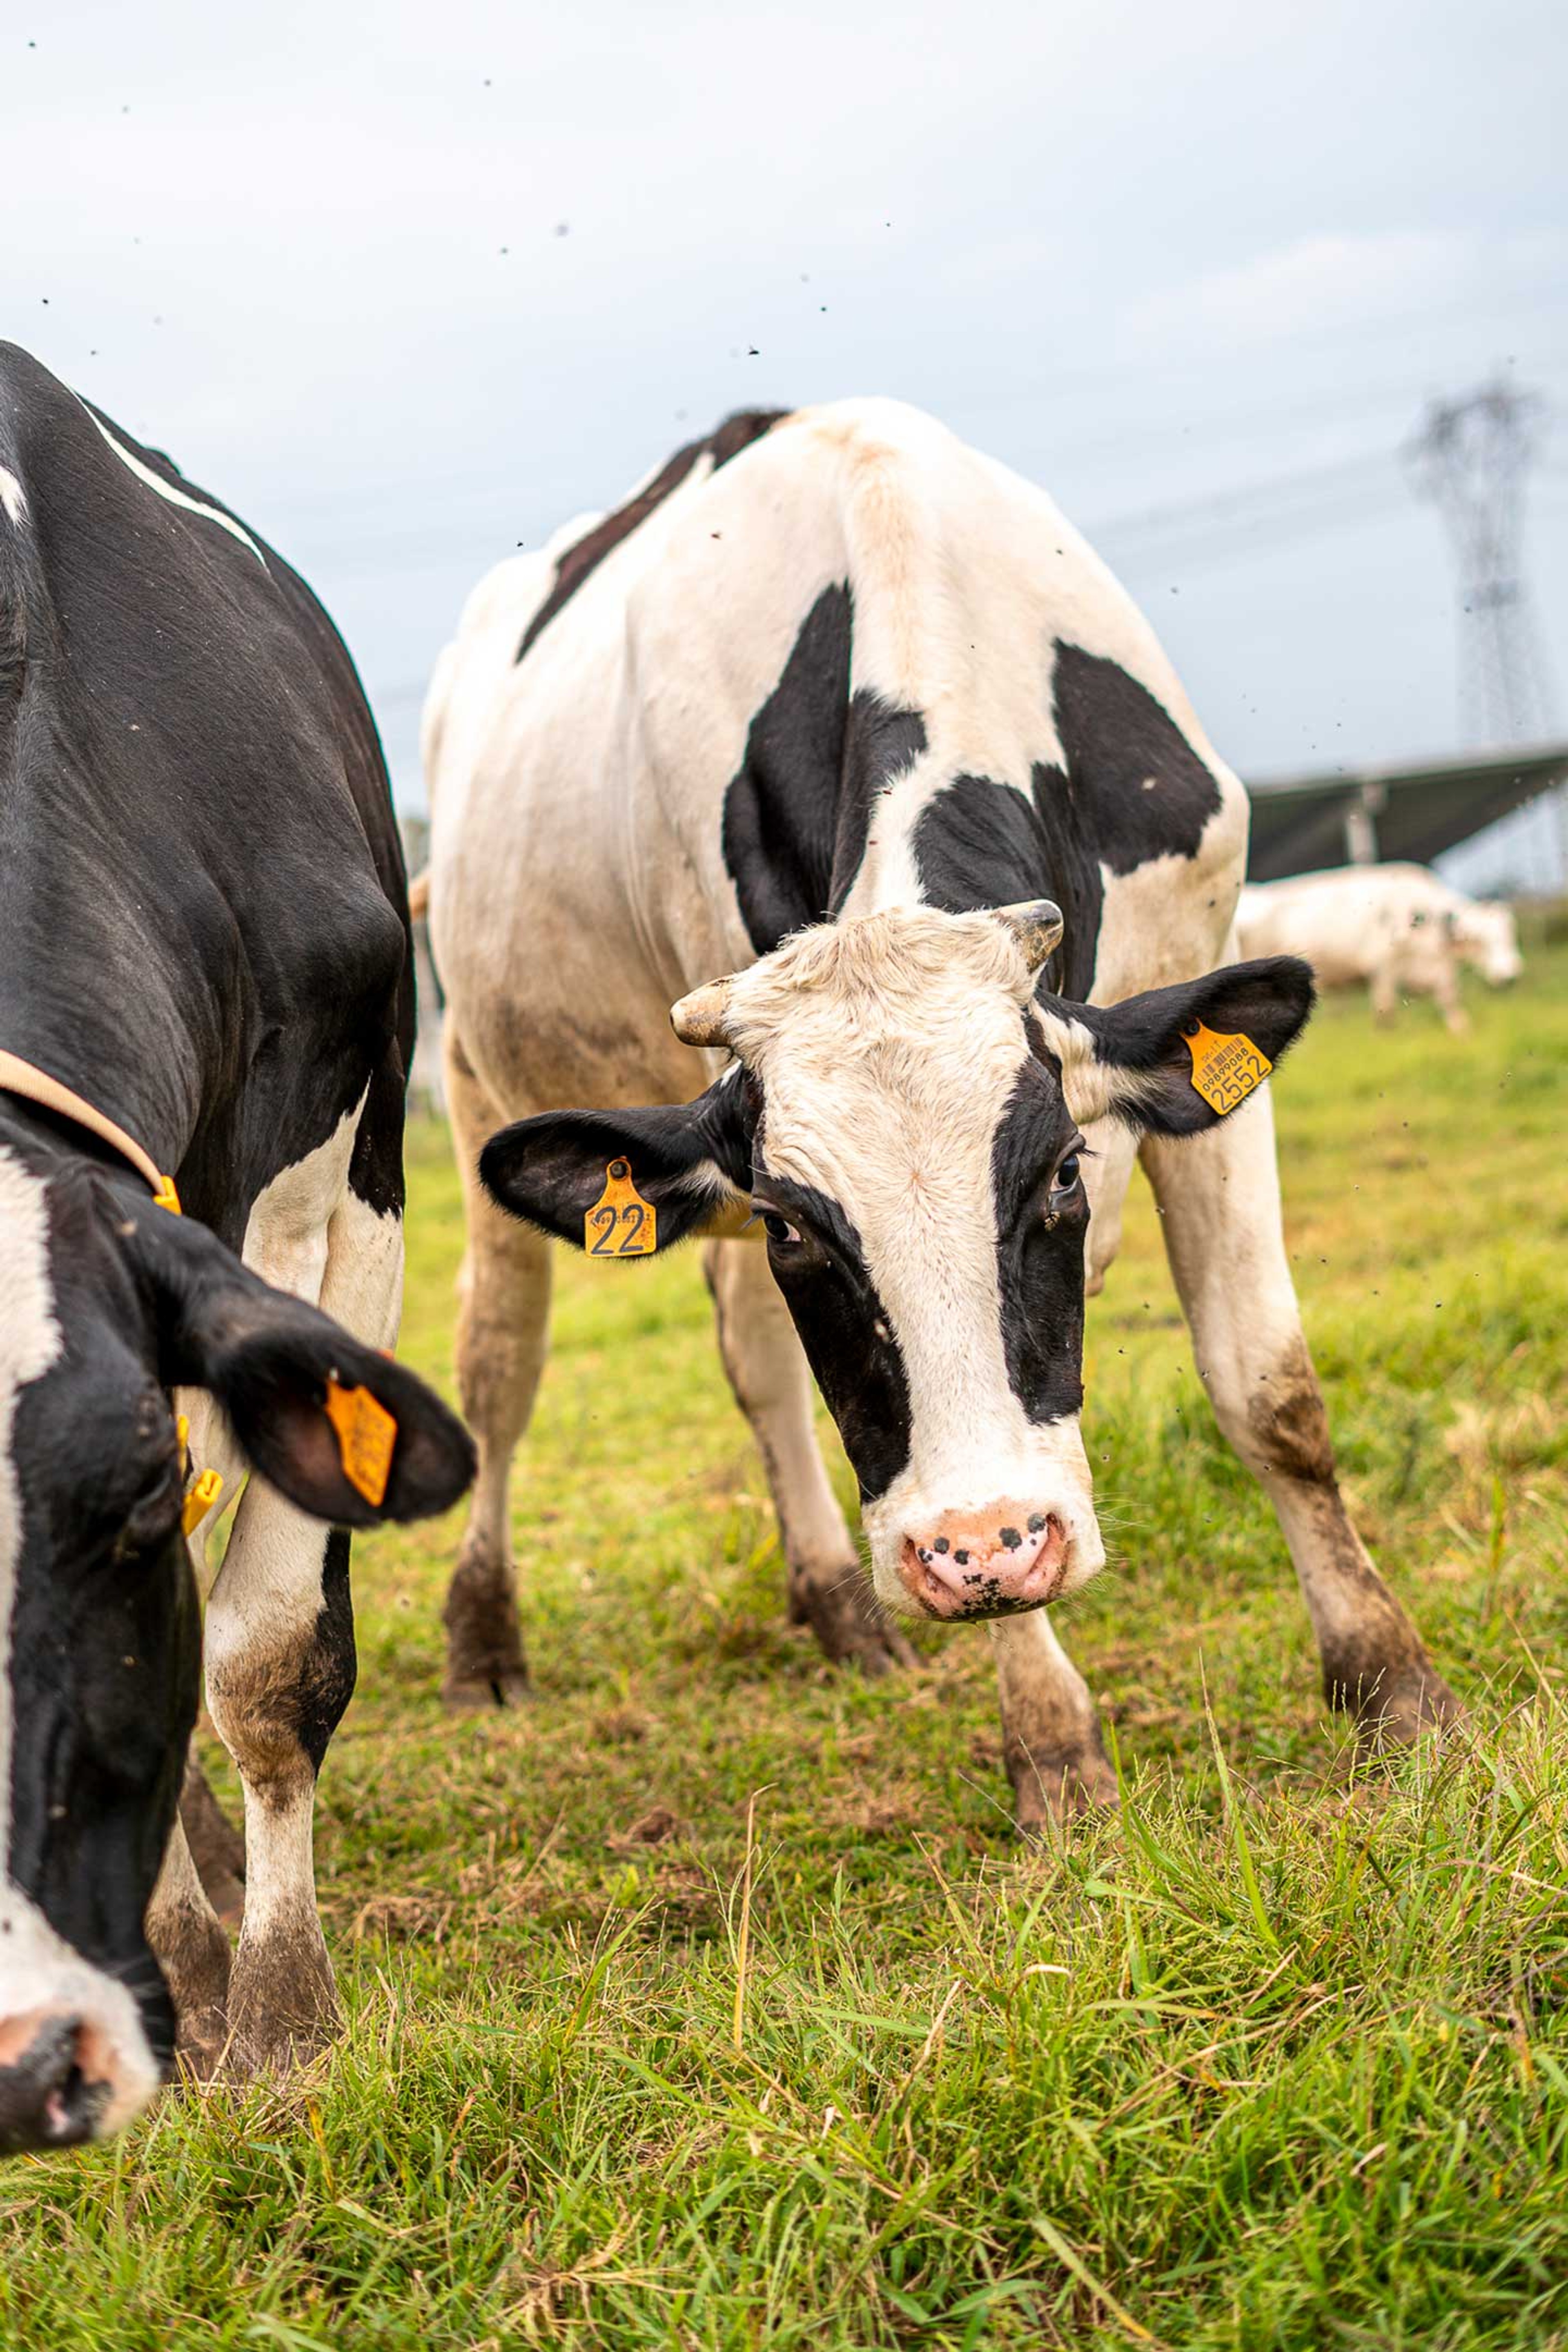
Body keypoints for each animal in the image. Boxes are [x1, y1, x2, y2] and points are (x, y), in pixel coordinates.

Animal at [0, 344, 475, 2151]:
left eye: (124, 1497)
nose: (25, 2061)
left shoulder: (339, 1183)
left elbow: (267, 1658)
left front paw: (281, 2020)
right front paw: (201, 1978)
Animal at [421, 397, 1458, 1831]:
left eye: (1060, 1177)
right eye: (801, 1230)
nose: (982, 1547)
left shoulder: (1199, 1001)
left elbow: (1270, 1391)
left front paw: (1394, 1688)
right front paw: (1055, 1752)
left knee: (755, 1366)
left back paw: (838, 1609)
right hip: (474, 1075)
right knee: (499, 1368)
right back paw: (484, 1638)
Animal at [1238, 864, 1522, 1034]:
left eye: (1509, 936)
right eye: (1481, 940)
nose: (1510, 977)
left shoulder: (1438, 966)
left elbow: (1449, 997)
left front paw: (1461, 1029)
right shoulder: (1383, 965)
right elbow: (1386, 1006)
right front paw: (1387, 1036)